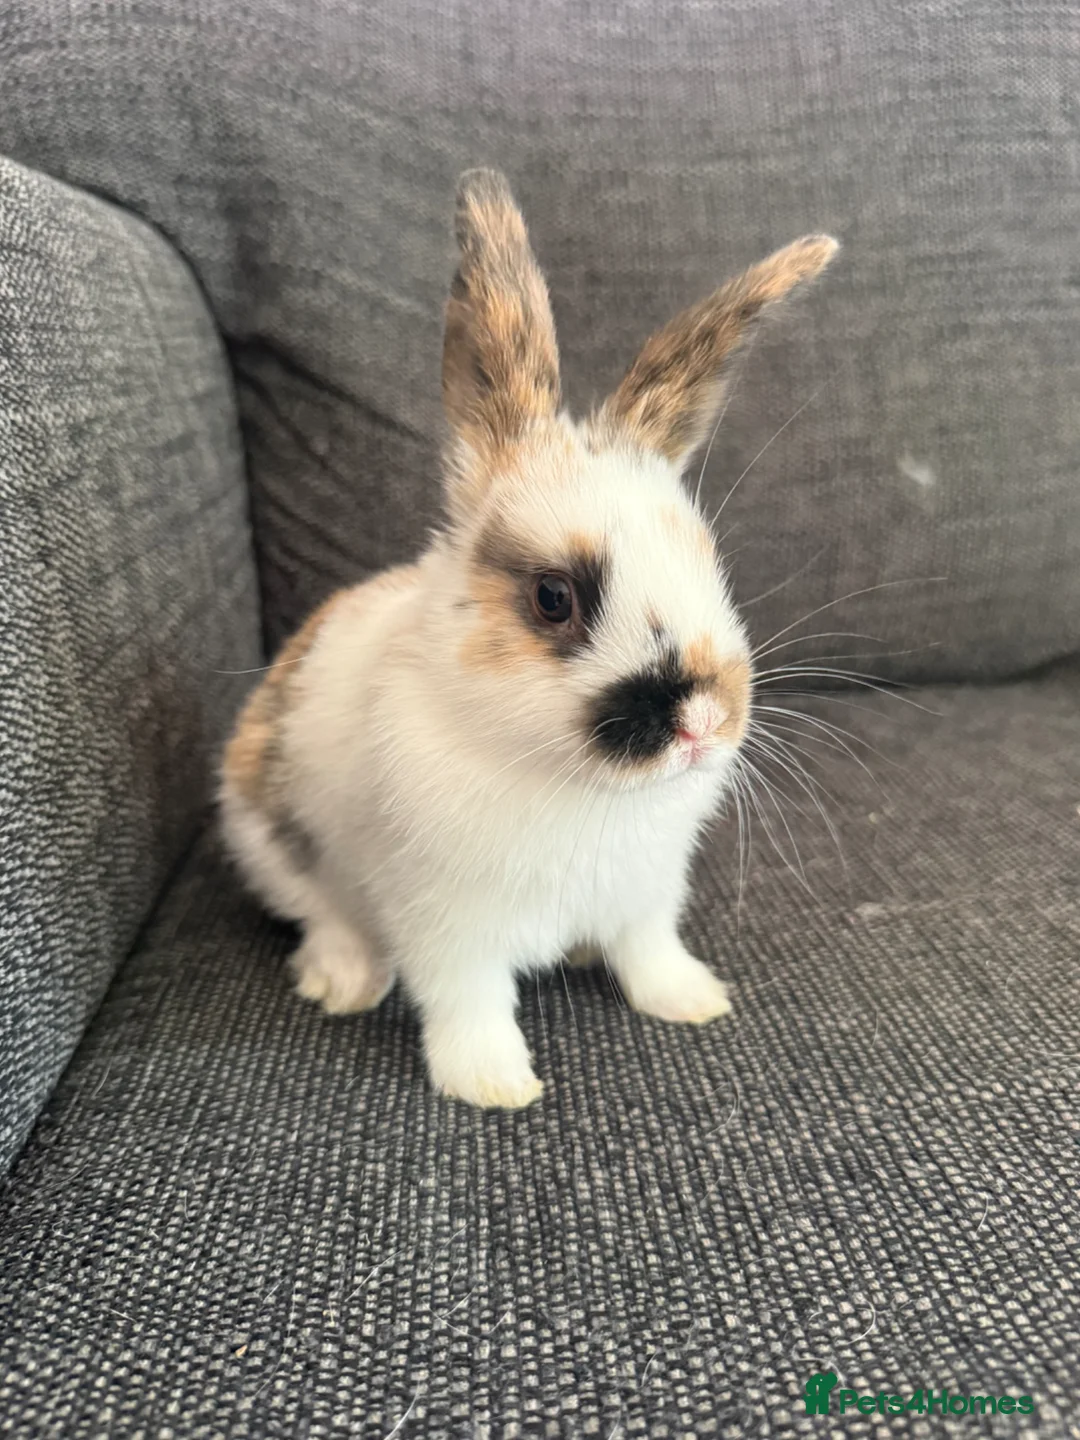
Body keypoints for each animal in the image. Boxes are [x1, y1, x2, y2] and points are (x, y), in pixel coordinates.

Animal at [220, 168, 837, 1109]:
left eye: (709, 562)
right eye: (554, 598)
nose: (702, 724)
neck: (573, 783)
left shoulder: (648, 891)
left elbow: (649, 952)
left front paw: (693, 1001)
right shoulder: (447, 923)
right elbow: (468, 1002)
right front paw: (493, 1085)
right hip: (269, 830)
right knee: (319, 912)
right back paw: (343, 980)